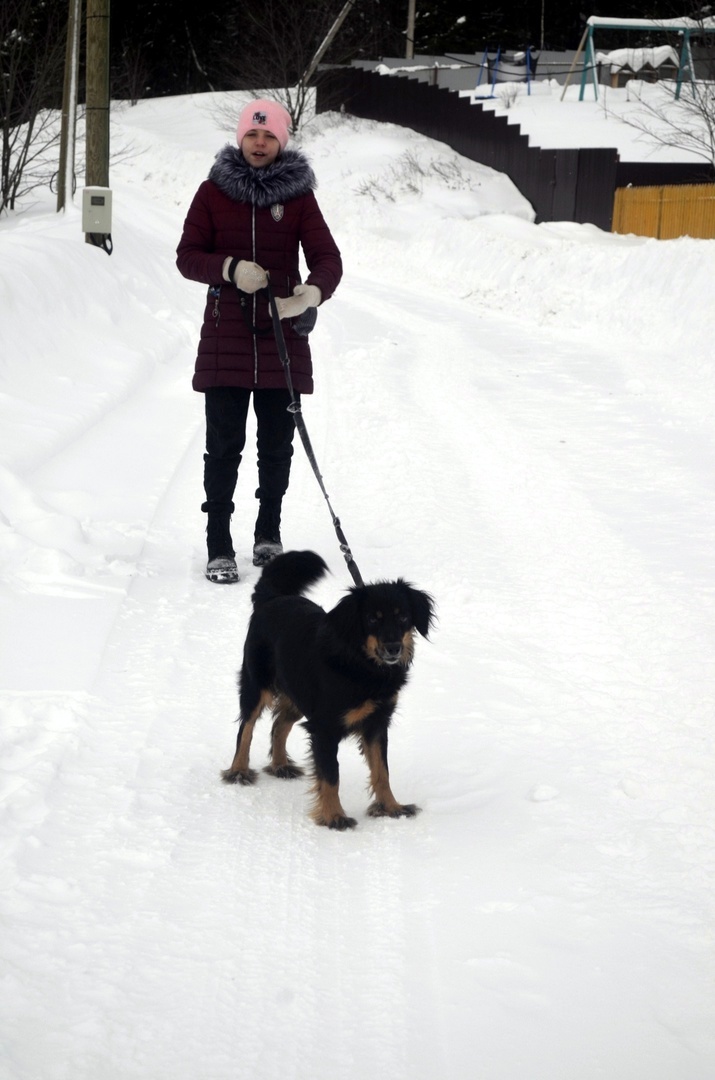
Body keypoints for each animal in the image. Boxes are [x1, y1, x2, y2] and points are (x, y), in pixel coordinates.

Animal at [222, 552, 436, 829]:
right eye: (372, 619)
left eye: (403, 617)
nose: (393, 648)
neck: (362, 664)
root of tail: (272, 598)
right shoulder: (324, 727)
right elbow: (331, 776)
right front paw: (334, 816)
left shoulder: (377, 722)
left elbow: (382, 771)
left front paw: (391, 807)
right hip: (257, 684)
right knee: (245, 729)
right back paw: (238, 771)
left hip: (297, 693)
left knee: (279, 724)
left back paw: (280, 766)